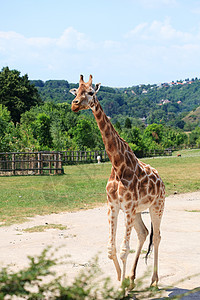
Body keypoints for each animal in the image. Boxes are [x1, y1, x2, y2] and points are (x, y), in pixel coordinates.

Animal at [69, 75, 165, 286]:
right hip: (137, 211)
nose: (74, 104)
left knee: (157, 236)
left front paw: (121, 287)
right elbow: (111, 249)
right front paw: (121, 280)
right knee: (144, 233)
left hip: (157, 207)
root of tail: (161, 179)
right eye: (76, 91)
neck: (118, 165)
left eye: (91, 92)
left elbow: (123, 250)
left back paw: (154, 280)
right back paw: (132, 278)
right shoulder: (113, 206)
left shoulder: (127, 207)